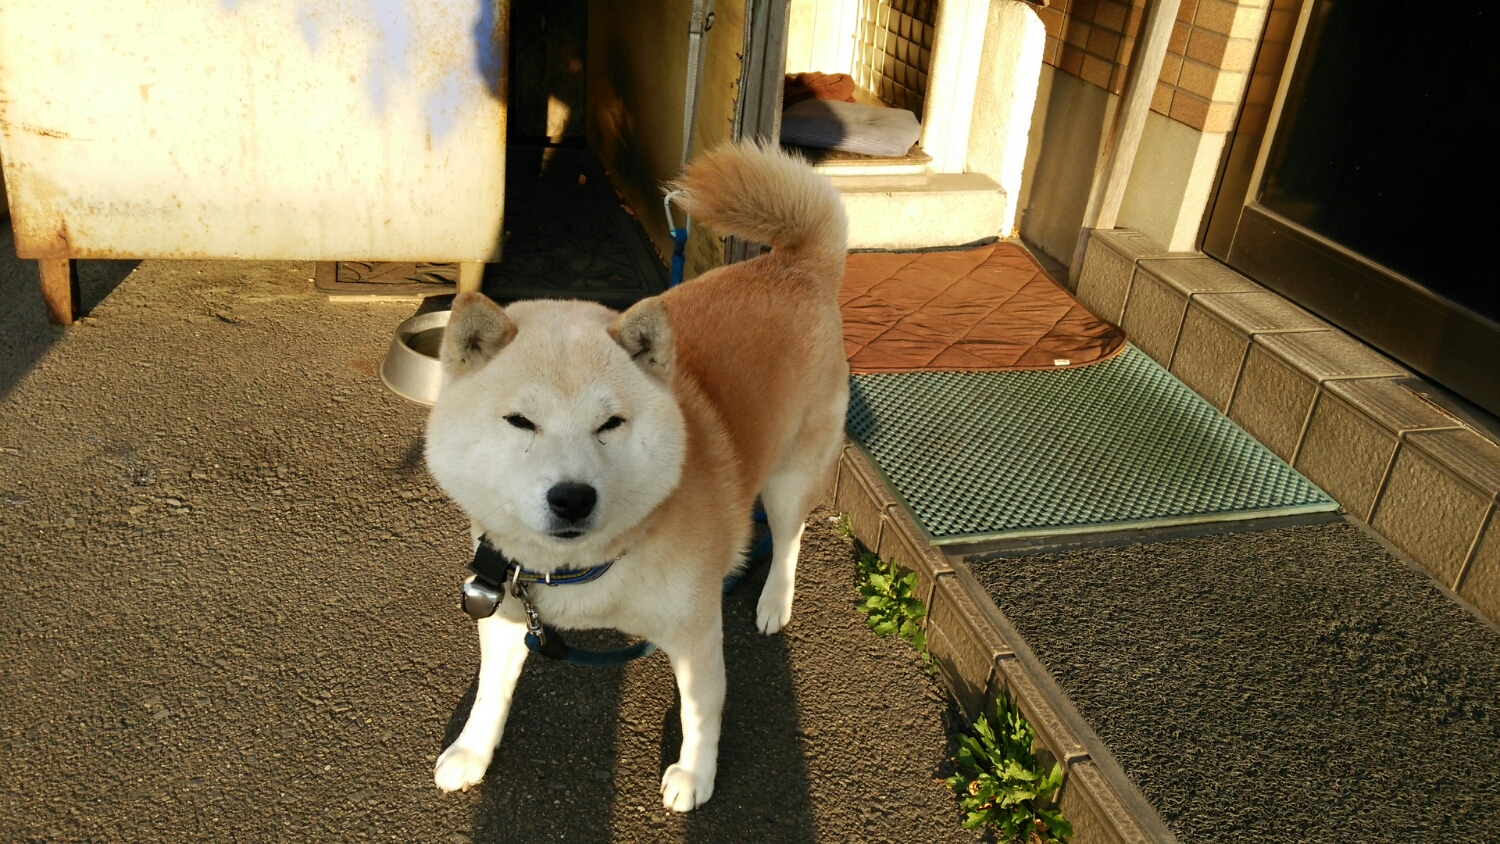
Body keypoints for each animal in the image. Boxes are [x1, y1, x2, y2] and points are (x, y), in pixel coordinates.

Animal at [424, 142, 850, 811]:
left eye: (610, 424)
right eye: (520, 421)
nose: (572, 498)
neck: (582, 575)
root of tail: (795, 265)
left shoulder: (696, 629)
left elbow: (702, 711)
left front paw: (694, 775)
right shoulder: (508, 607)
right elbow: (492, 693)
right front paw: (471, 752)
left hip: (789, 477)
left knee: (789, 538)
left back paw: (772, 601)